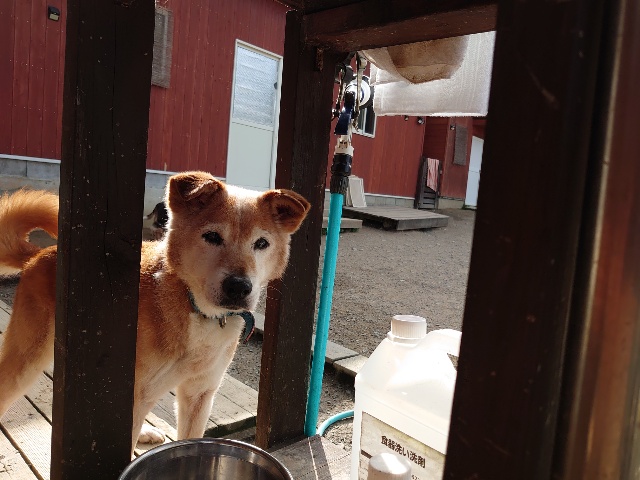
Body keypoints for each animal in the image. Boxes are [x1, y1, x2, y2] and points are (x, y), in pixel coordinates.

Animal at [0, 171, 310, 451]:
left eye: (261, 243)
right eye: (212, 236)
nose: (238, 286)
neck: (197, 312)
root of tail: (39, 254)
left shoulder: (199, 393)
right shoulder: (135, 394)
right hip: (29, 360)